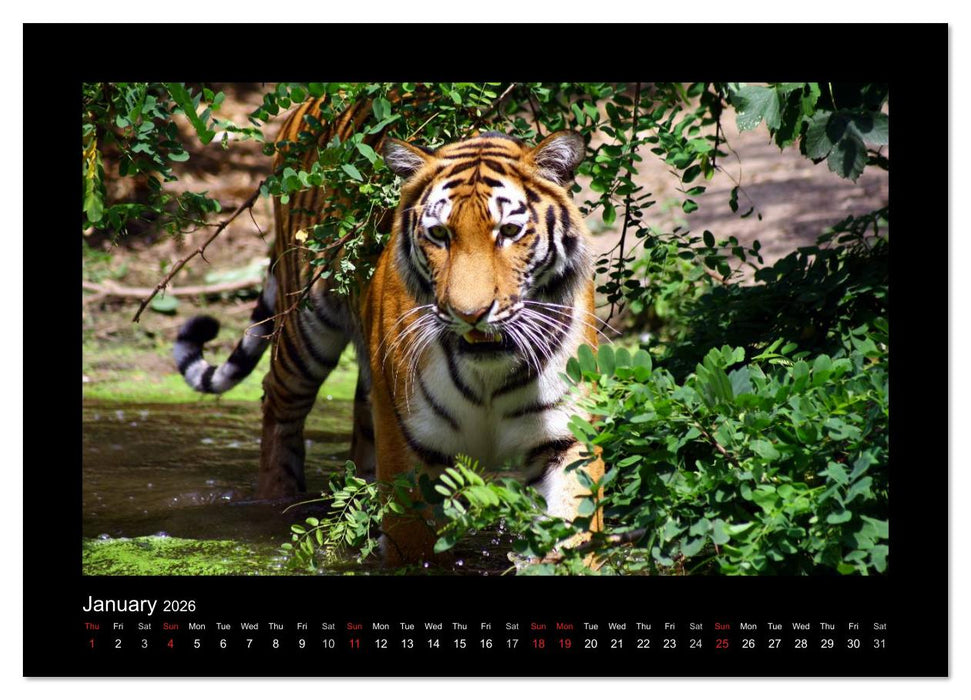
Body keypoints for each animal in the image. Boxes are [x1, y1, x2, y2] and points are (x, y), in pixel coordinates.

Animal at [173, 93, 604, 564]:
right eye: (439, 234)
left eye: (509, 231)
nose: (470, 313)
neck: (488, 370)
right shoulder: (409, 442)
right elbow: (410, 542)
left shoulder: (565, 437)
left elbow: (574, 529)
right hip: (305, 325)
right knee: (279, 406)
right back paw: (277, 497)